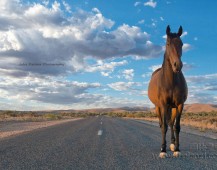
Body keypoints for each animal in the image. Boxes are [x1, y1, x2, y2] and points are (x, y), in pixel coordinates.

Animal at [148, 25, 187, 158]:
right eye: (168, 43)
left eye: (181, 43)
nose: (177, 65)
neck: (171, 82)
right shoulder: (164, 105)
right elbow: (164, 126)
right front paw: (163, 150)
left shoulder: (180, 104)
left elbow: (177, 126)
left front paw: (177, 149)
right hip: (158, 107)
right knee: (162, 124)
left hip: (172, 107)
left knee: (171, 123)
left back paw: (172, 144)